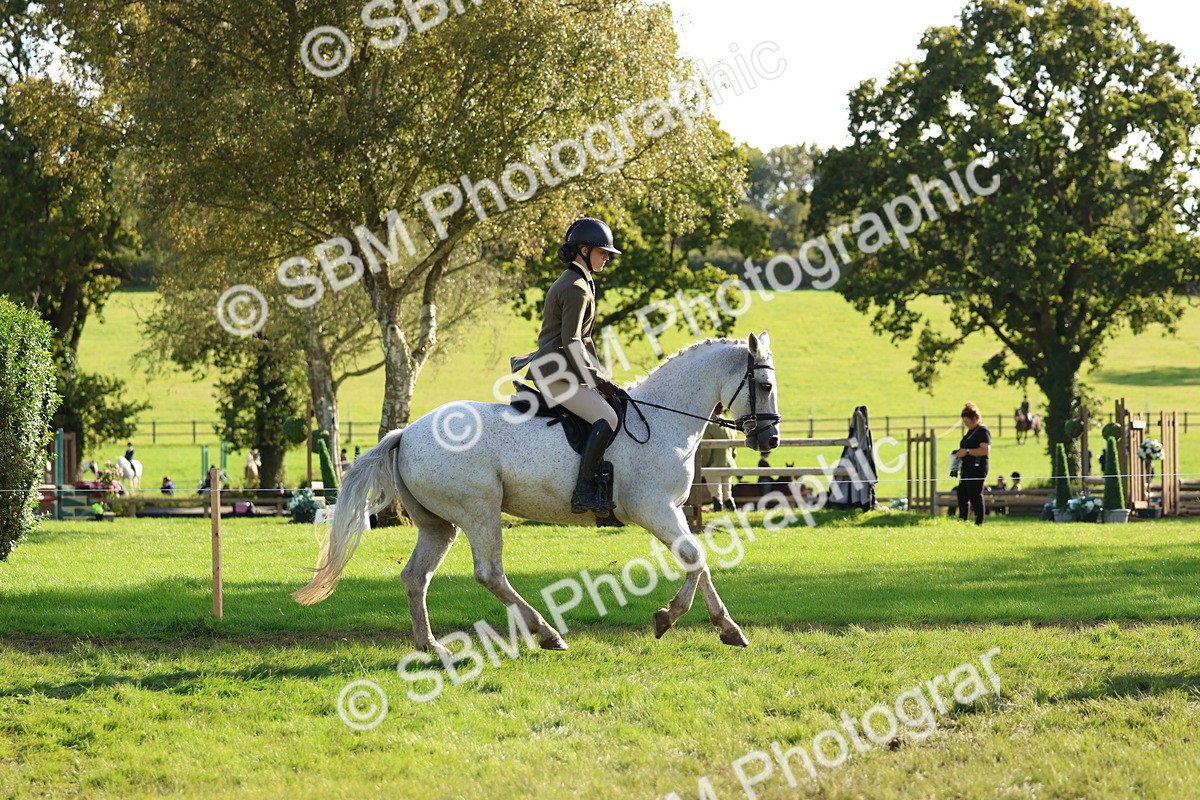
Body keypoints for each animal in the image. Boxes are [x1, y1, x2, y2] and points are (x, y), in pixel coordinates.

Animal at [293, 333, 782, 657]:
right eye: (765, 386)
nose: (770, 439)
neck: (665, 417)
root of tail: (407, 433)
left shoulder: (673, 512)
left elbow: (699, 562)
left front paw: (728, 629)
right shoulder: (655, 509)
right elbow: (696, 558)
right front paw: (667, 617)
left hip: (439, 524)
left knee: (416, 577)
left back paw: (430, 645)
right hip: (479, 510)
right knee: (489, 573)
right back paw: (547, 634)